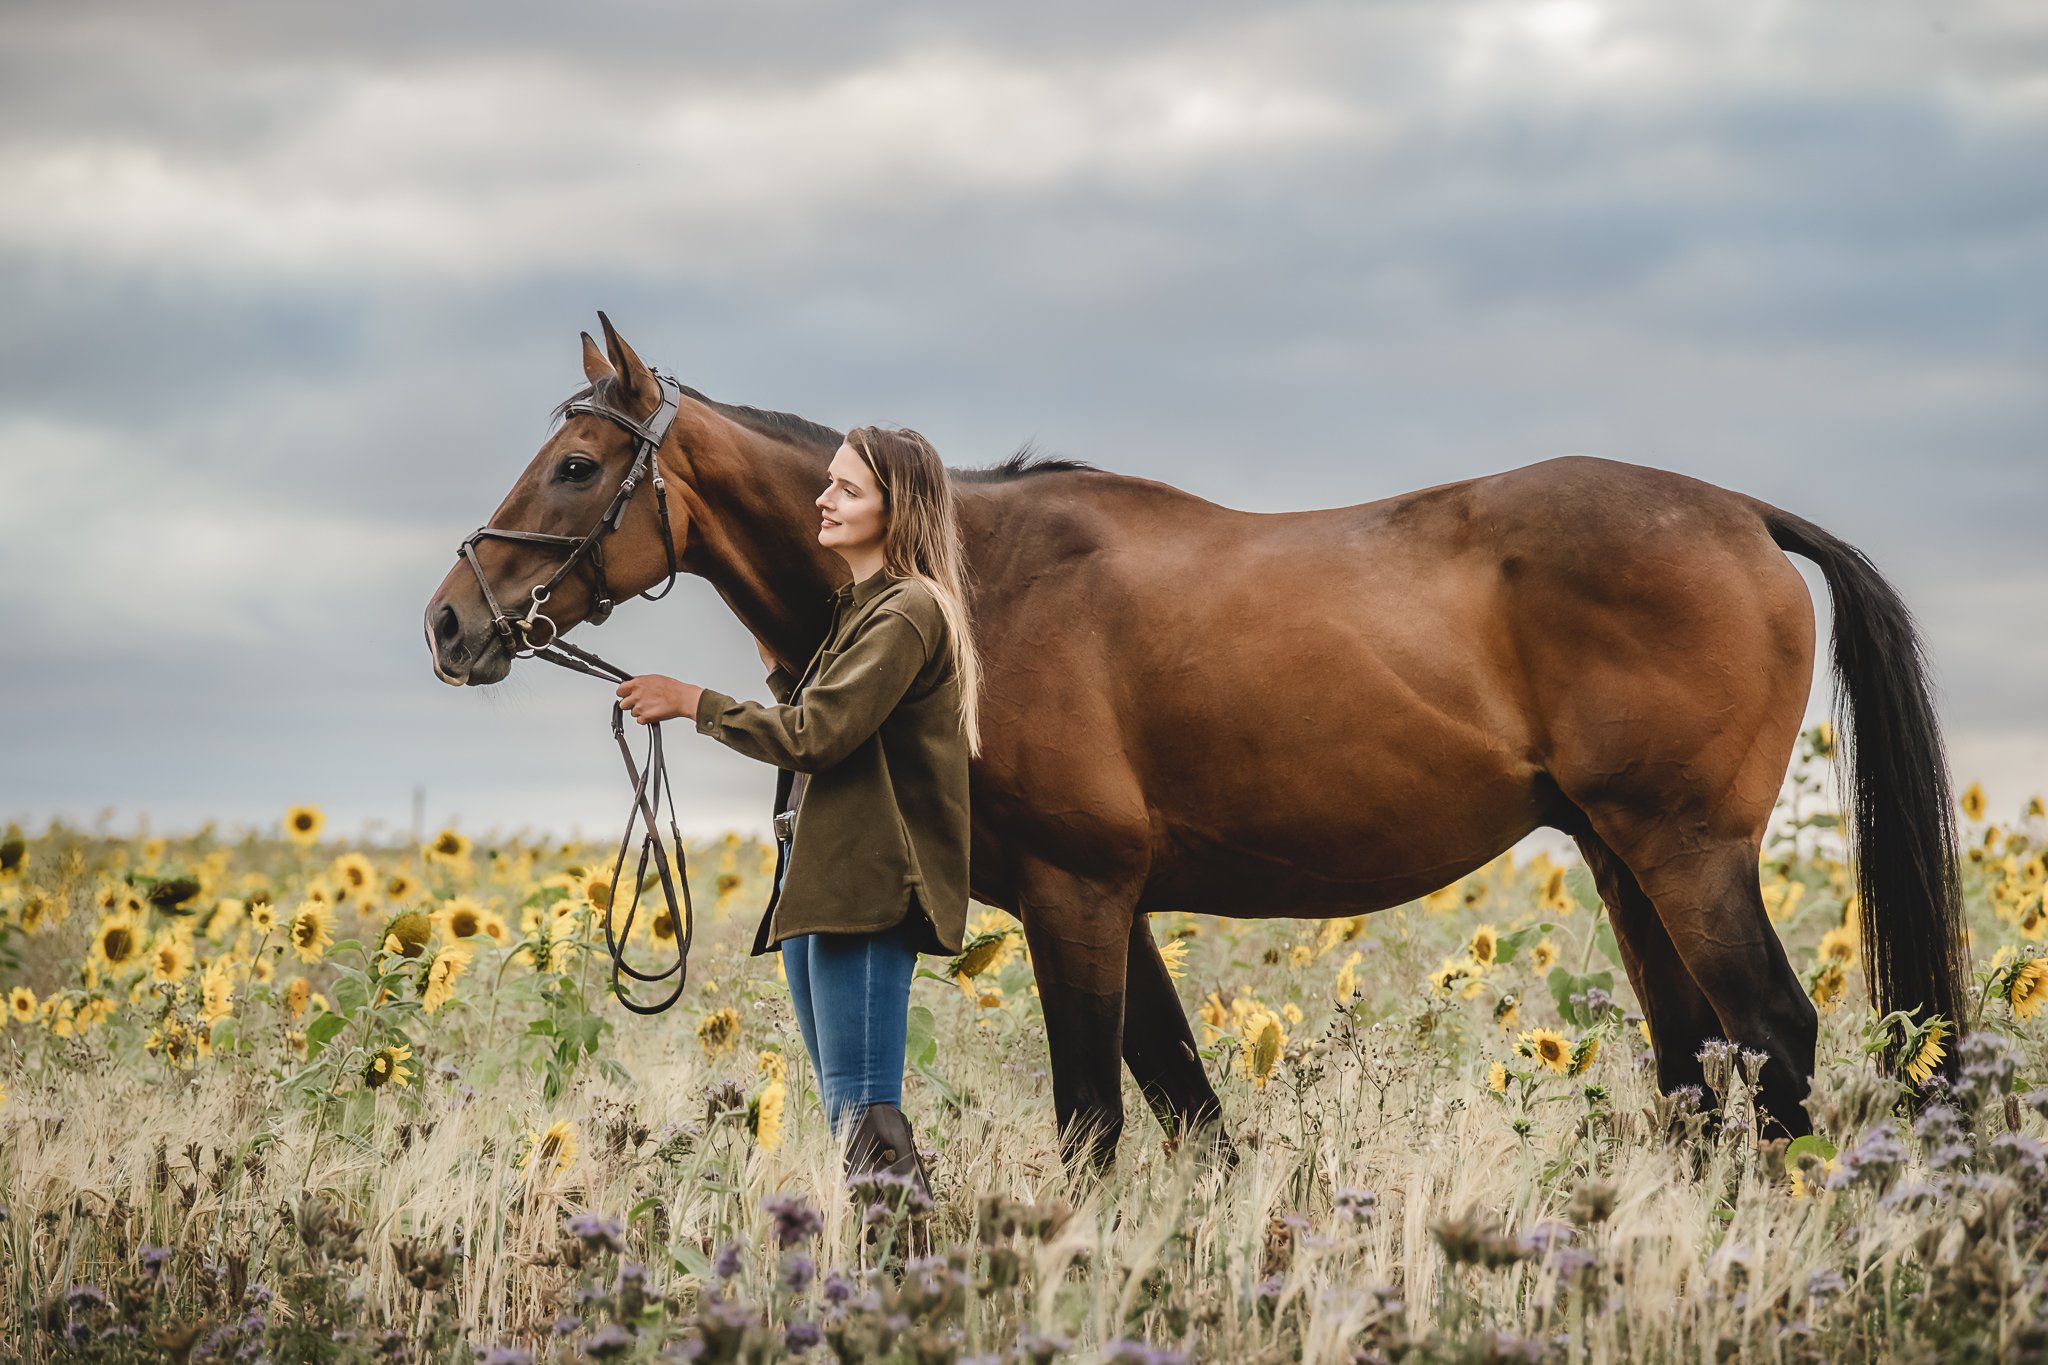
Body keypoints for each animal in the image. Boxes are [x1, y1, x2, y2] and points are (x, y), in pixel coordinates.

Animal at [425, 314, 1965, 1168]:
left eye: (576, 466)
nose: (451, 621)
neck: (979, 588)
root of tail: (1741, 514)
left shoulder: (1078, 898)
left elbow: (1095, 1123)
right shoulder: (1111, 906)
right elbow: (1187, 1105)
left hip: (1687, 853)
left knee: (1772, 1039)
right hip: (1621, 860)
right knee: (1697, 1067)